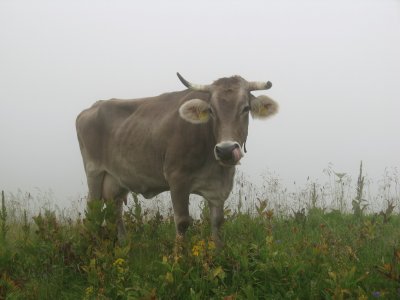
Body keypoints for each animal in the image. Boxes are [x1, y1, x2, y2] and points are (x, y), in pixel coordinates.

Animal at [76, 72, 278, 246]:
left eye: (246, 108)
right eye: (211, 110)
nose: (226, 150)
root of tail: (93, 107)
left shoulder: (218, 188)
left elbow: (217, 223)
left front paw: (219, 254)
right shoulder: (177, 179)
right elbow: (182, 222)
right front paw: (179, 258)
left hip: (116, 179)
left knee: (115, 210)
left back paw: (124, 243)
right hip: (94, 173)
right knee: (92, 210)